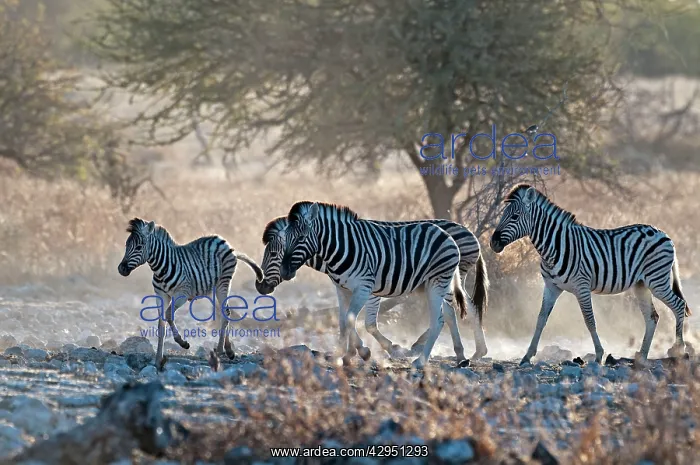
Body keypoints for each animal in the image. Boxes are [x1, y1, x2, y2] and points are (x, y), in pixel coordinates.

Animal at [117, 218, 264, 368]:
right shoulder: (161, 295)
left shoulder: (182, 294)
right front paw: (158, 359)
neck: (160, 269)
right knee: (225, 312)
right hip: (212, 289)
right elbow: (161, 325)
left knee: (225, 313)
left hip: (223, 283)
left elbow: (168, 315)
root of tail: (222, 241)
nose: (121, 269)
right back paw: (228, 350)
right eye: (126, 245)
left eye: (139, 247)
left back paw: (219, 350)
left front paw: (183, 343)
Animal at [256, 216, 489, 363]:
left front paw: (384, 349)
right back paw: (467, 352)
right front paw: (354, 351)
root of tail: (470, 233)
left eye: (274, 254)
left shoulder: (372, 287)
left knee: (457, 309)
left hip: (448, 278)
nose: (261, 286)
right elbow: (346, 319)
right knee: (457, 310)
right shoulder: (344, 287)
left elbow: (367, 323)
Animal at [490, 184, 692, 365]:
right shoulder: (551, 287)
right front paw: (527, 356)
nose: (493, 243)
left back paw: (679, 350)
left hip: (657, 280)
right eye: (503, 215)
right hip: (641, 285)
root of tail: (663, 233)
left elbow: (589, 321)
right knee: (652, 317)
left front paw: (599, 355)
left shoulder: (582, 287)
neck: (555, 246)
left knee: (678, 305)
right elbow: (540, 319)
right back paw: (641, 356)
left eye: (515, 216)